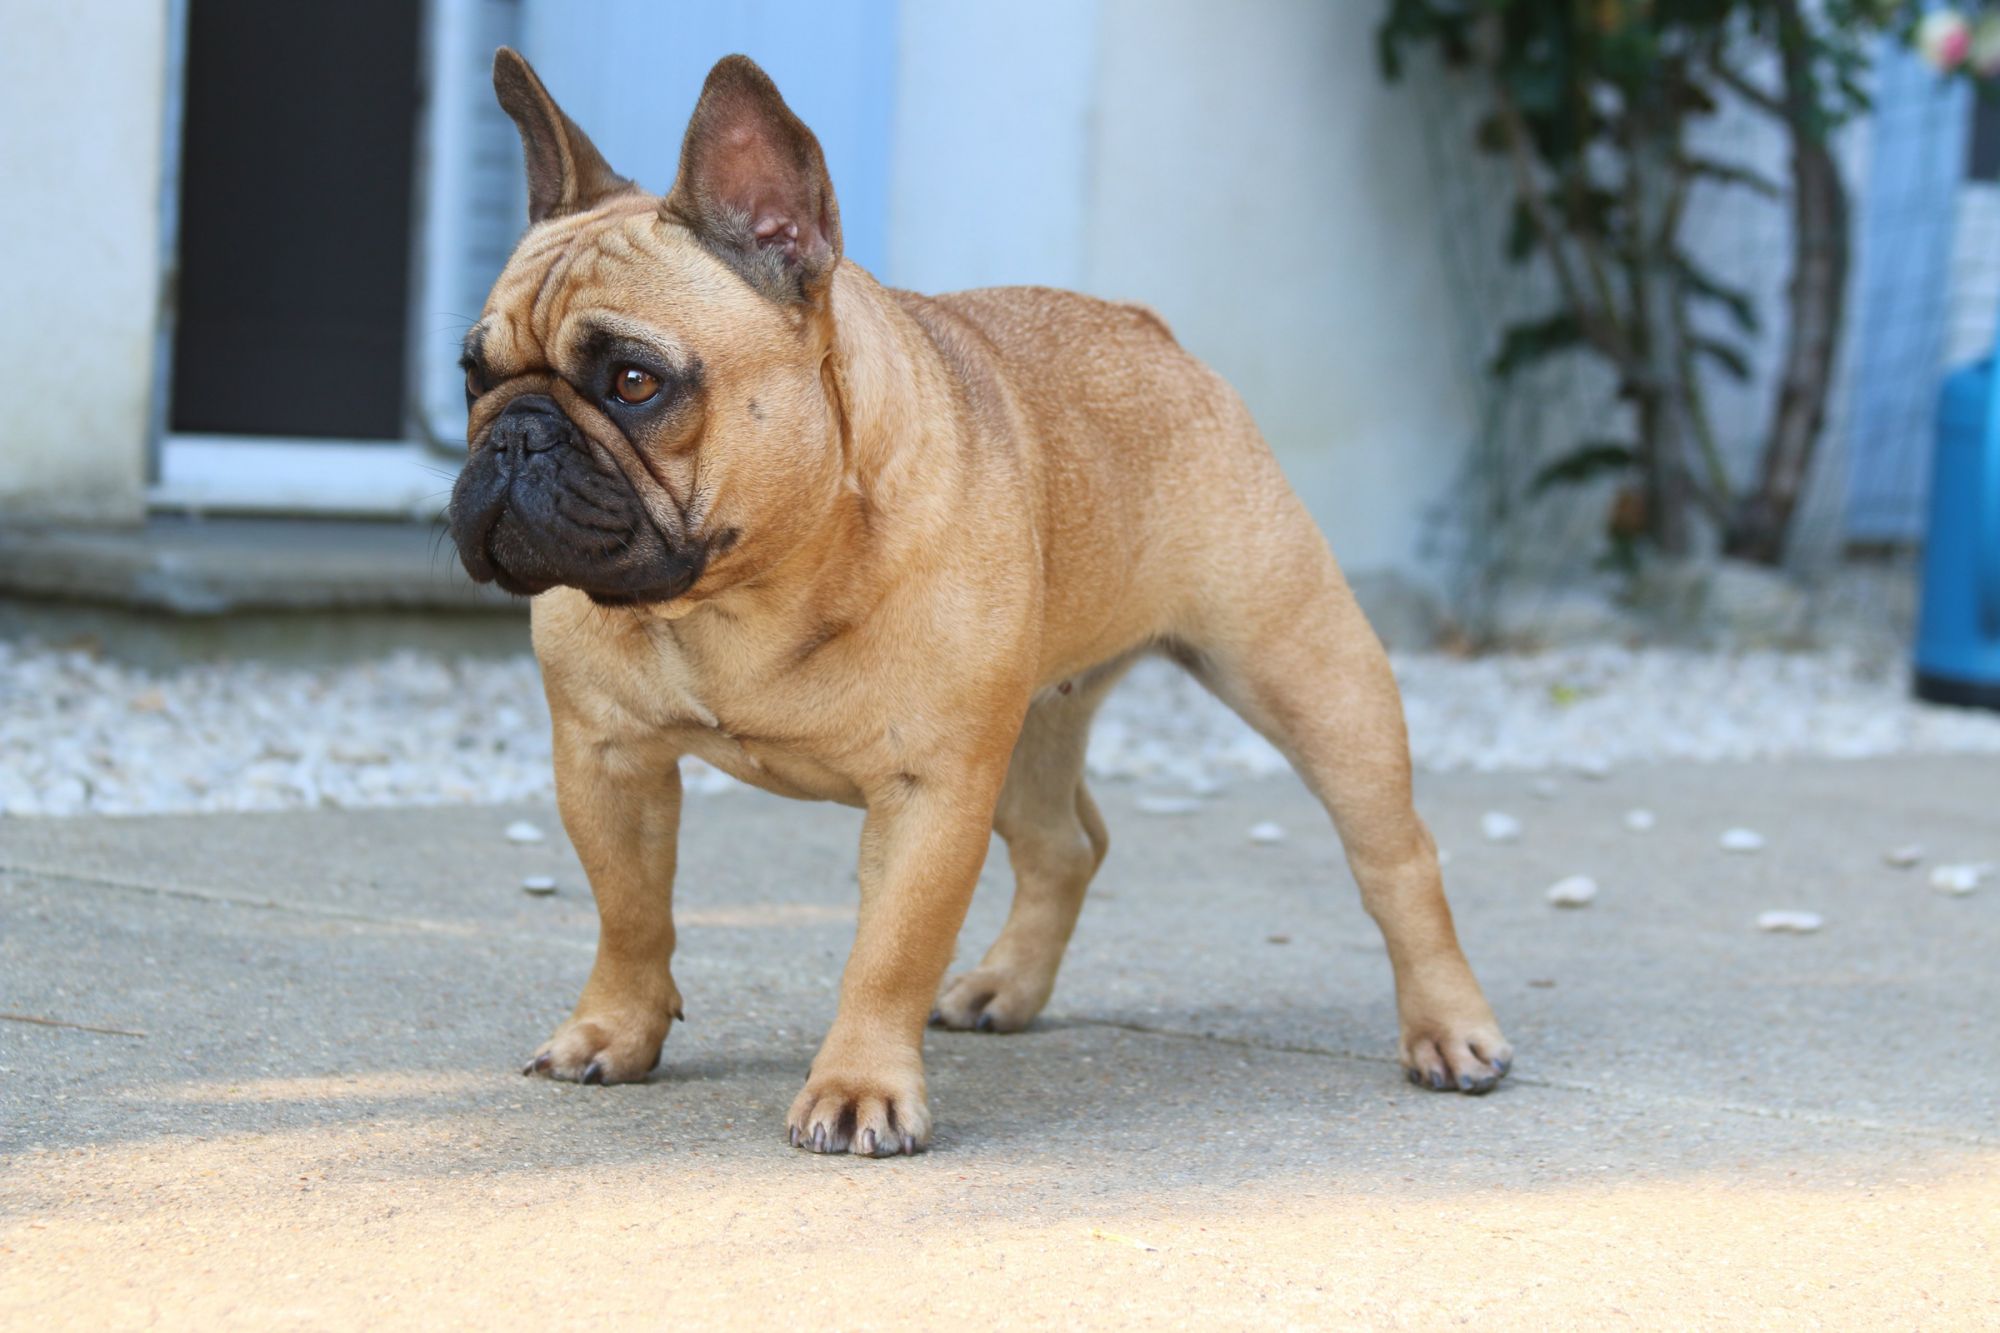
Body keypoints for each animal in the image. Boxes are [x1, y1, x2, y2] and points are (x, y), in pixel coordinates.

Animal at [449, 48, 1511, 1156]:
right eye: (472, 373)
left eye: (632, 381)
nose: (512, 435)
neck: (741, 591)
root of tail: (1153, 332)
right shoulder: (606, 758)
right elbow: (630, 913)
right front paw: (614, 1030)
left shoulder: (931, 787)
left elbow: (889, 951)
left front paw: (859, 1086)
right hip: (1027, 731)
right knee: (1064, 846)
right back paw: (1007, 986)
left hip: (1304, 676)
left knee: (1396, 857)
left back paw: (1450, 1030)